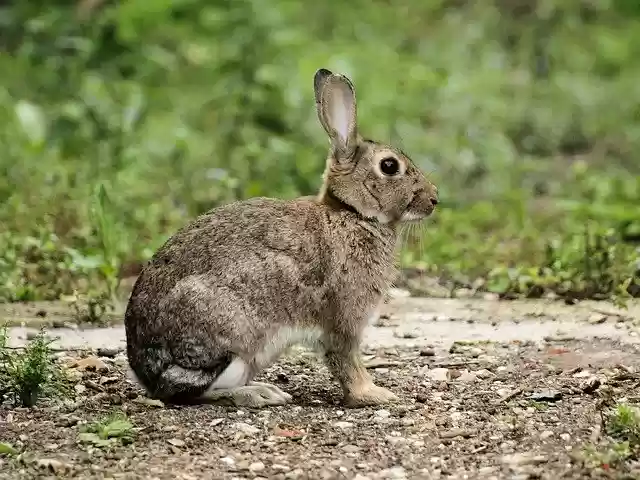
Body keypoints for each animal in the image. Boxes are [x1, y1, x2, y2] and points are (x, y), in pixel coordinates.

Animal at [123, 67, 438, 406]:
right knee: (190, 391)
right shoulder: (344, 319)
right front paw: (374, 394)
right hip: (232, 340)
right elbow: (347, 361)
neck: (352, 213)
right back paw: (258, 393)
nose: (434, 199)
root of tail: (145, 370)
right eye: (389, 166)